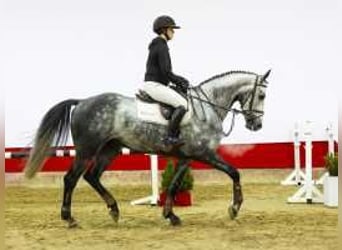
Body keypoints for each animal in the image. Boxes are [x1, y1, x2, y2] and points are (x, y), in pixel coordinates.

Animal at [24, 68, 272, 227]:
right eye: (261, 95)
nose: (257, 125)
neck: (207, 107)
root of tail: (83, 101)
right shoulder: (204, 153)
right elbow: (234, 172)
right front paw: (234, 208)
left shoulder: (186, 157)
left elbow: (173, 185)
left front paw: (171, 215)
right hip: (87, 150)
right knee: (71, 179)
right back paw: (70, 218)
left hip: (110, 149)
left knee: (92, 176)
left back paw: (114, 210)